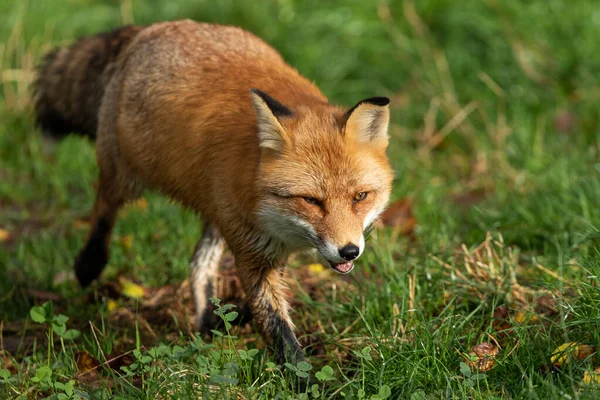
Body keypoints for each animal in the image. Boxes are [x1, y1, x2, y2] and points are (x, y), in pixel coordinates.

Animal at [35, 21, 396, 366]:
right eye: (311, 201)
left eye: (360, 197)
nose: (349, 251)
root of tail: (149, 29)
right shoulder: (253, 253)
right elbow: (278, 329)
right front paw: (303, 379)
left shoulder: (260, 244)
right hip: (126, 174)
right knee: (104, 207)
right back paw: (89, 263)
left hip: (216, 213)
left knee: (198, 264)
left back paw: (209, 324)